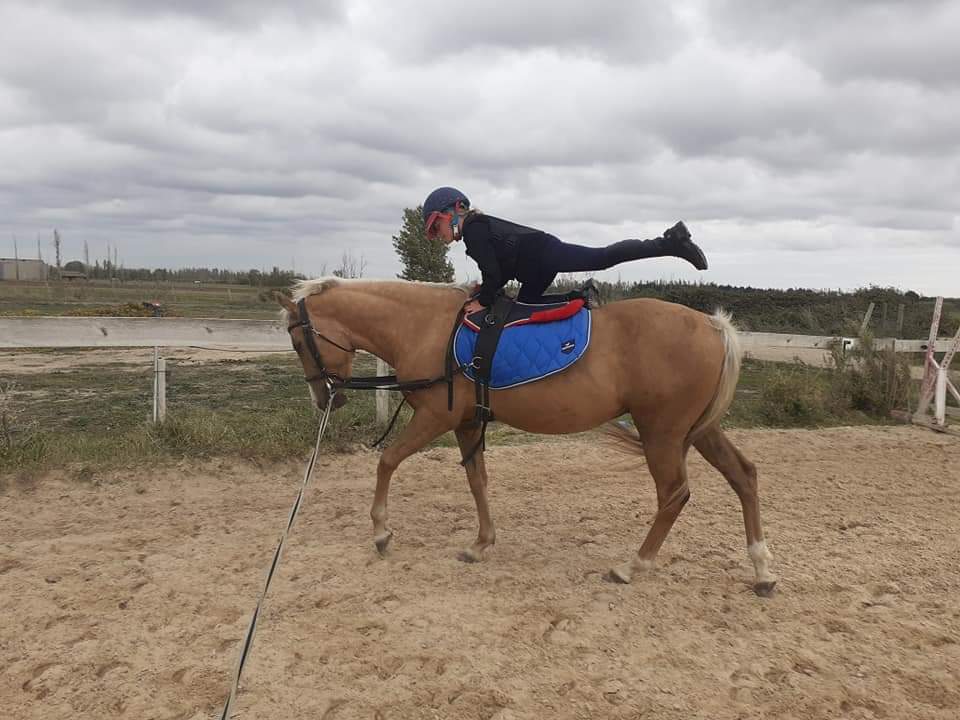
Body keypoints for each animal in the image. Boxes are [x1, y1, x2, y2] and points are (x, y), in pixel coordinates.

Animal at [276, 278, 777, 596]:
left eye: (298, 342)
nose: (325, 398)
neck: (427, 328)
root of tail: (714, 326)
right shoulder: (467, 424)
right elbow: (477, 481)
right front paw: (480, 544)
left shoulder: (436, 418)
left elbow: (387, 460)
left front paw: (381, 532)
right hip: (697, 430)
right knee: (744, 475)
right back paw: (762, 570)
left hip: (663, 433)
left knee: (675, 493)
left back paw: (631, 566)